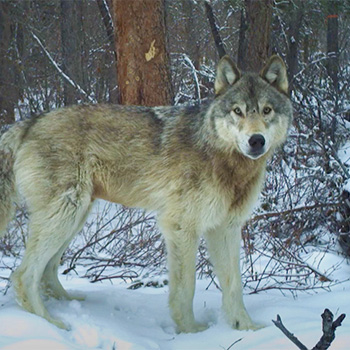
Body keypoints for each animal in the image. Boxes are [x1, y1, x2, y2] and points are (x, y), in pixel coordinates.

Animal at [0, 55, 292, 334]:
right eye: (237, 111)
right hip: (65, 216)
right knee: (24, 275)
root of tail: (29, 122)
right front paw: (191, 332)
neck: (222, 158)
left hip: (75, 218)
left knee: (48, 271)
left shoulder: (226, 229)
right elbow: (186, 288)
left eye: (267, 110)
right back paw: (52, 325)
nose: (256, 140)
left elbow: (234, 286)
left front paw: (247, 328)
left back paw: (69, 304)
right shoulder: (180, 228)